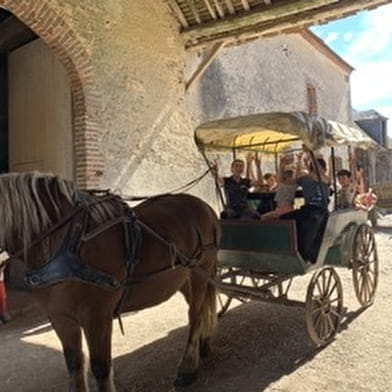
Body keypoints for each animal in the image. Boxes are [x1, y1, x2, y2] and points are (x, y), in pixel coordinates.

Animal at [0, 174, 220, 392]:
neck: (63, 242)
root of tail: (206, 207)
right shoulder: (59, 317)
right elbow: (74, 363)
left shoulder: (97, 316)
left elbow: (100, 367)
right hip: (184, 279)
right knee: (199, 309)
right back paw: (203, 345)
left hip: (200, 273)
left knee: (194, 315)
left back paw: (188, 368)